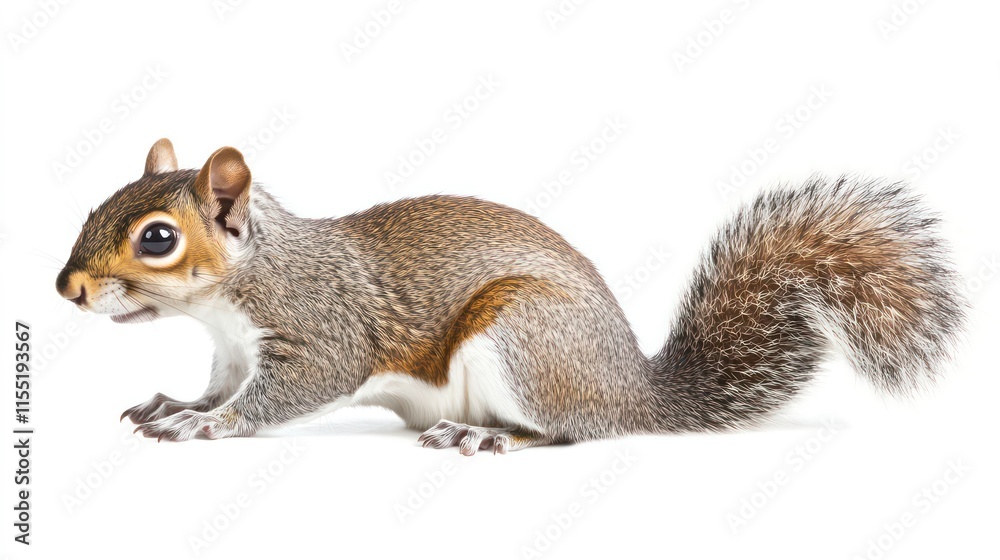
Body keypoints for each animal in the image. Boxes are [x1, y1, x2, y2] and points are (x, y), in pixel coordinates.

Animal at [56, 138, 966, 454]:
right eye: (99, 203)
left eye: (158, 239)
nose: (66, 288)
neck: (239, 289)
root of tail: (632, 393)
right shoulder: (229, 347)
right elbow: (216, 382)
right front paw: (178, 405)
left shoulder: (318, 327)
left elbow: (287, 391)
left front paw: (210, 425)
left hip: (523, 339)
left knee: (567, 433)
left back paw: (485, 435)